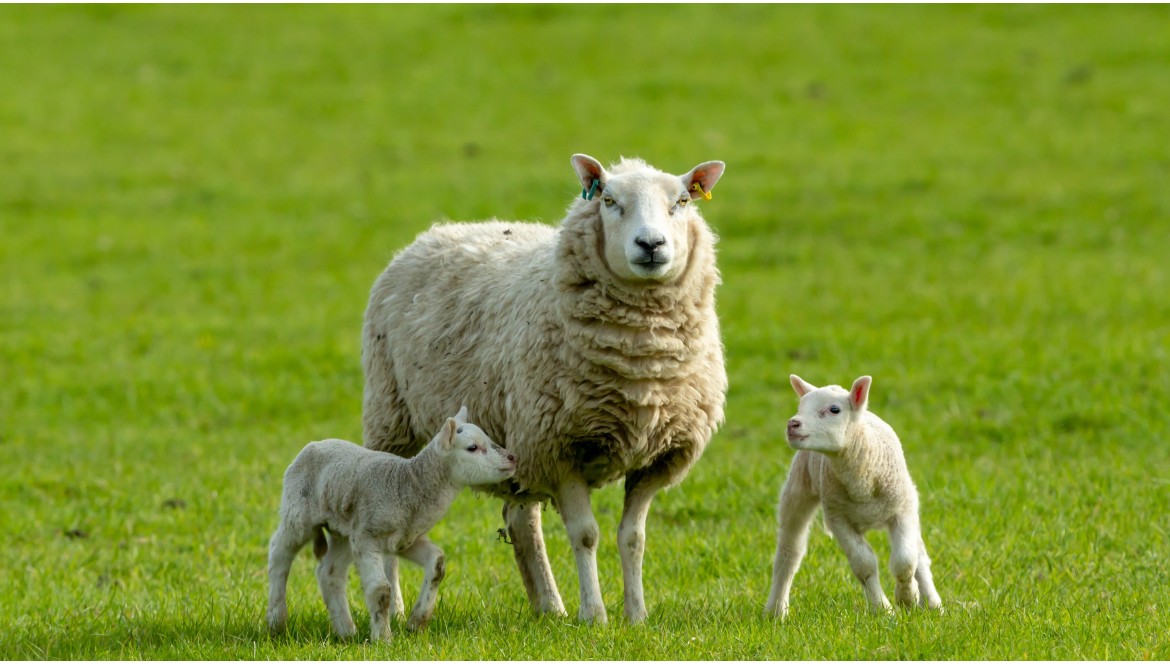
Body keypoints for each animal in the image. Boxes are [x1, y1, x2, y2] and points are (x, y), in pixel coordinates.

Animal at [271, 406, 519, 640]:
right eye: (472, 448)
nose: (512, 458)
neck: (408, 484)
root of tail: (314, 444)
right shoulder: (367, 536)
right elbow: (381, 590)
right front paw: (383, 638)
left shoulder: (405, 539)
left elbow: (437, 563)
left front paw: (416, 622)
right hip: (298, 511)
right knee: (279, 552)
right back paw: (276, 623)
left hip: (343, 529)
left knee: (330, 572)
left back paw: (346, 632)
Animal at [360, 154, 725, 621]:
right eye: (609, 200)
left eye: (681, 201)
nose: (651, 244)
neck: (640, 365)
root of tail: (440, 231)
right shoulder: (559, 448)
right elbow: (586, 535)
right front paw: (595, 615)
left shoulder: (658, 458)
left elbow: (633, 538)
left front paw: (637, 616)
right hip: (393, 417)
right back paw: (398, 608)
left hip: (516, 440)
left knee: (522, 521)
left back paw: (549, 607)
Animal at [762, 376, 945, 621]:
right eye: (801, 407)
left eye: (834, 410)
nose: (793, 423)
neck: (862, 483)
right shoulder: (838, 517)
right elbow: (864, 564)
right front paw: (883, 609)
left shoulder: (903, 509)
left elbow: (905, 560)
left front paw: (907, 598)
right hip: (798, 490)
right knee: (789, 553)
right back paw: (776, 611)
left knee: (920, 556)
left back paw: (933, 604)